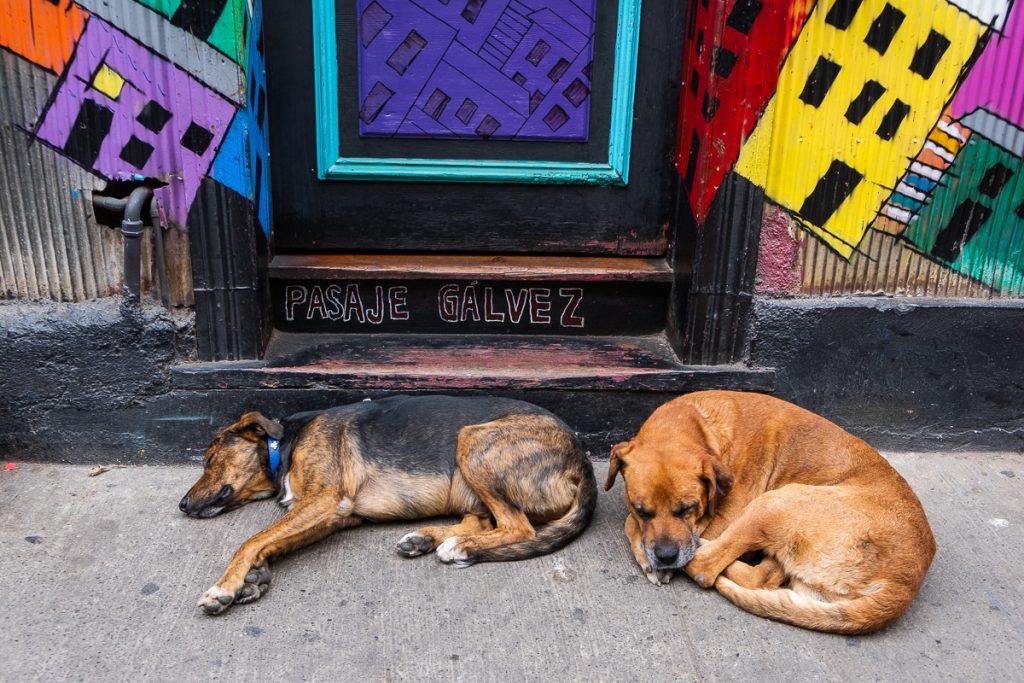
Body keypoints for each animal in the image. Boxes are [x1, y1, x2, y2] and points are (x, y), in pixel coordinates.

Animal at [180, 393, 598, 618]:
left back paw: (459, 547)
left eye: (209, 460)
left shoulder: (325, 500)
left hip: (474, 442)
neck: (282, 443)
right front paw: (255, 577)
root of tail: (580, 458)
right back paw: (426, 539)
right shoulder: (333, 515)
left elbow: (250, 541)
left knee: (517, 527)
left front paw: (224, 587)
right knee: (484, 522)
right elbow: (270, 542)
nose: (182, 505)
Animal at [606, 389, 937, 634]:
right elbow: (630, 523)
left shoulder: (720, 518)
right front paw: (646, 553)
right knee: (765, 575)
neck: (699, 425)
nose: (665, 556)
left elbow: (634, 526)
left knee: (707, 567)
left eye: (688, 508)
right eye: (643, 510)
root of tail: (905, 584)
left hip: (775, 502)